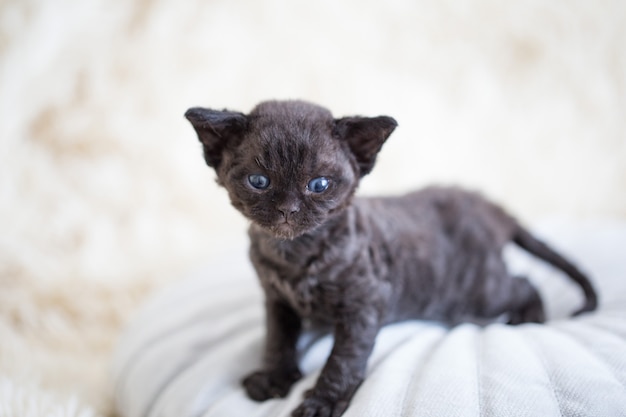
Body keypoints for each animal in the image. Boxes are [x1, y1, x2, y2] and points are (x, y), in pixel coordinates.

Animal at [184, 98, 596, 416]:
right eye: (259, 181)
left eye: (319, 184)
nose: (288, 210)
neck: (292, 255)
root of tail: (489, 207)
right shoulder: (276, 300)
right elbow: (277, 339)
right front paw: (274, 377)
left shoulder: (365, 302)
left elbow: (344, 358)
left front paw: (322, 401)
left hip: (475, 292)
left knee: (522, 282)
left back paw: (530, 318)